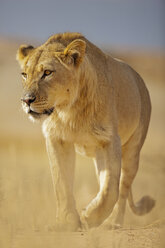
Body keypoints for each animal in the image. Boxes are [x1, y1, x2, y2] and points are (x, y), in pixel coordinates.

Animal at [16, 32, 155, 232]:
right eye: (24, 74)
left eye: (47, 73)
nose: (26, 100)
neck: (70, 110)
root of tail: (140, 79)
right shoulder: (57, 138)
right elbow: (62, 182)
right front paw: (67, 222)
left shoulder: (110, 139)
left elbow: (111, 188)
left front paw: (91, 216)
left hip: (132, 150)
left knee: (123, 187)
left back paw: (112, 222)